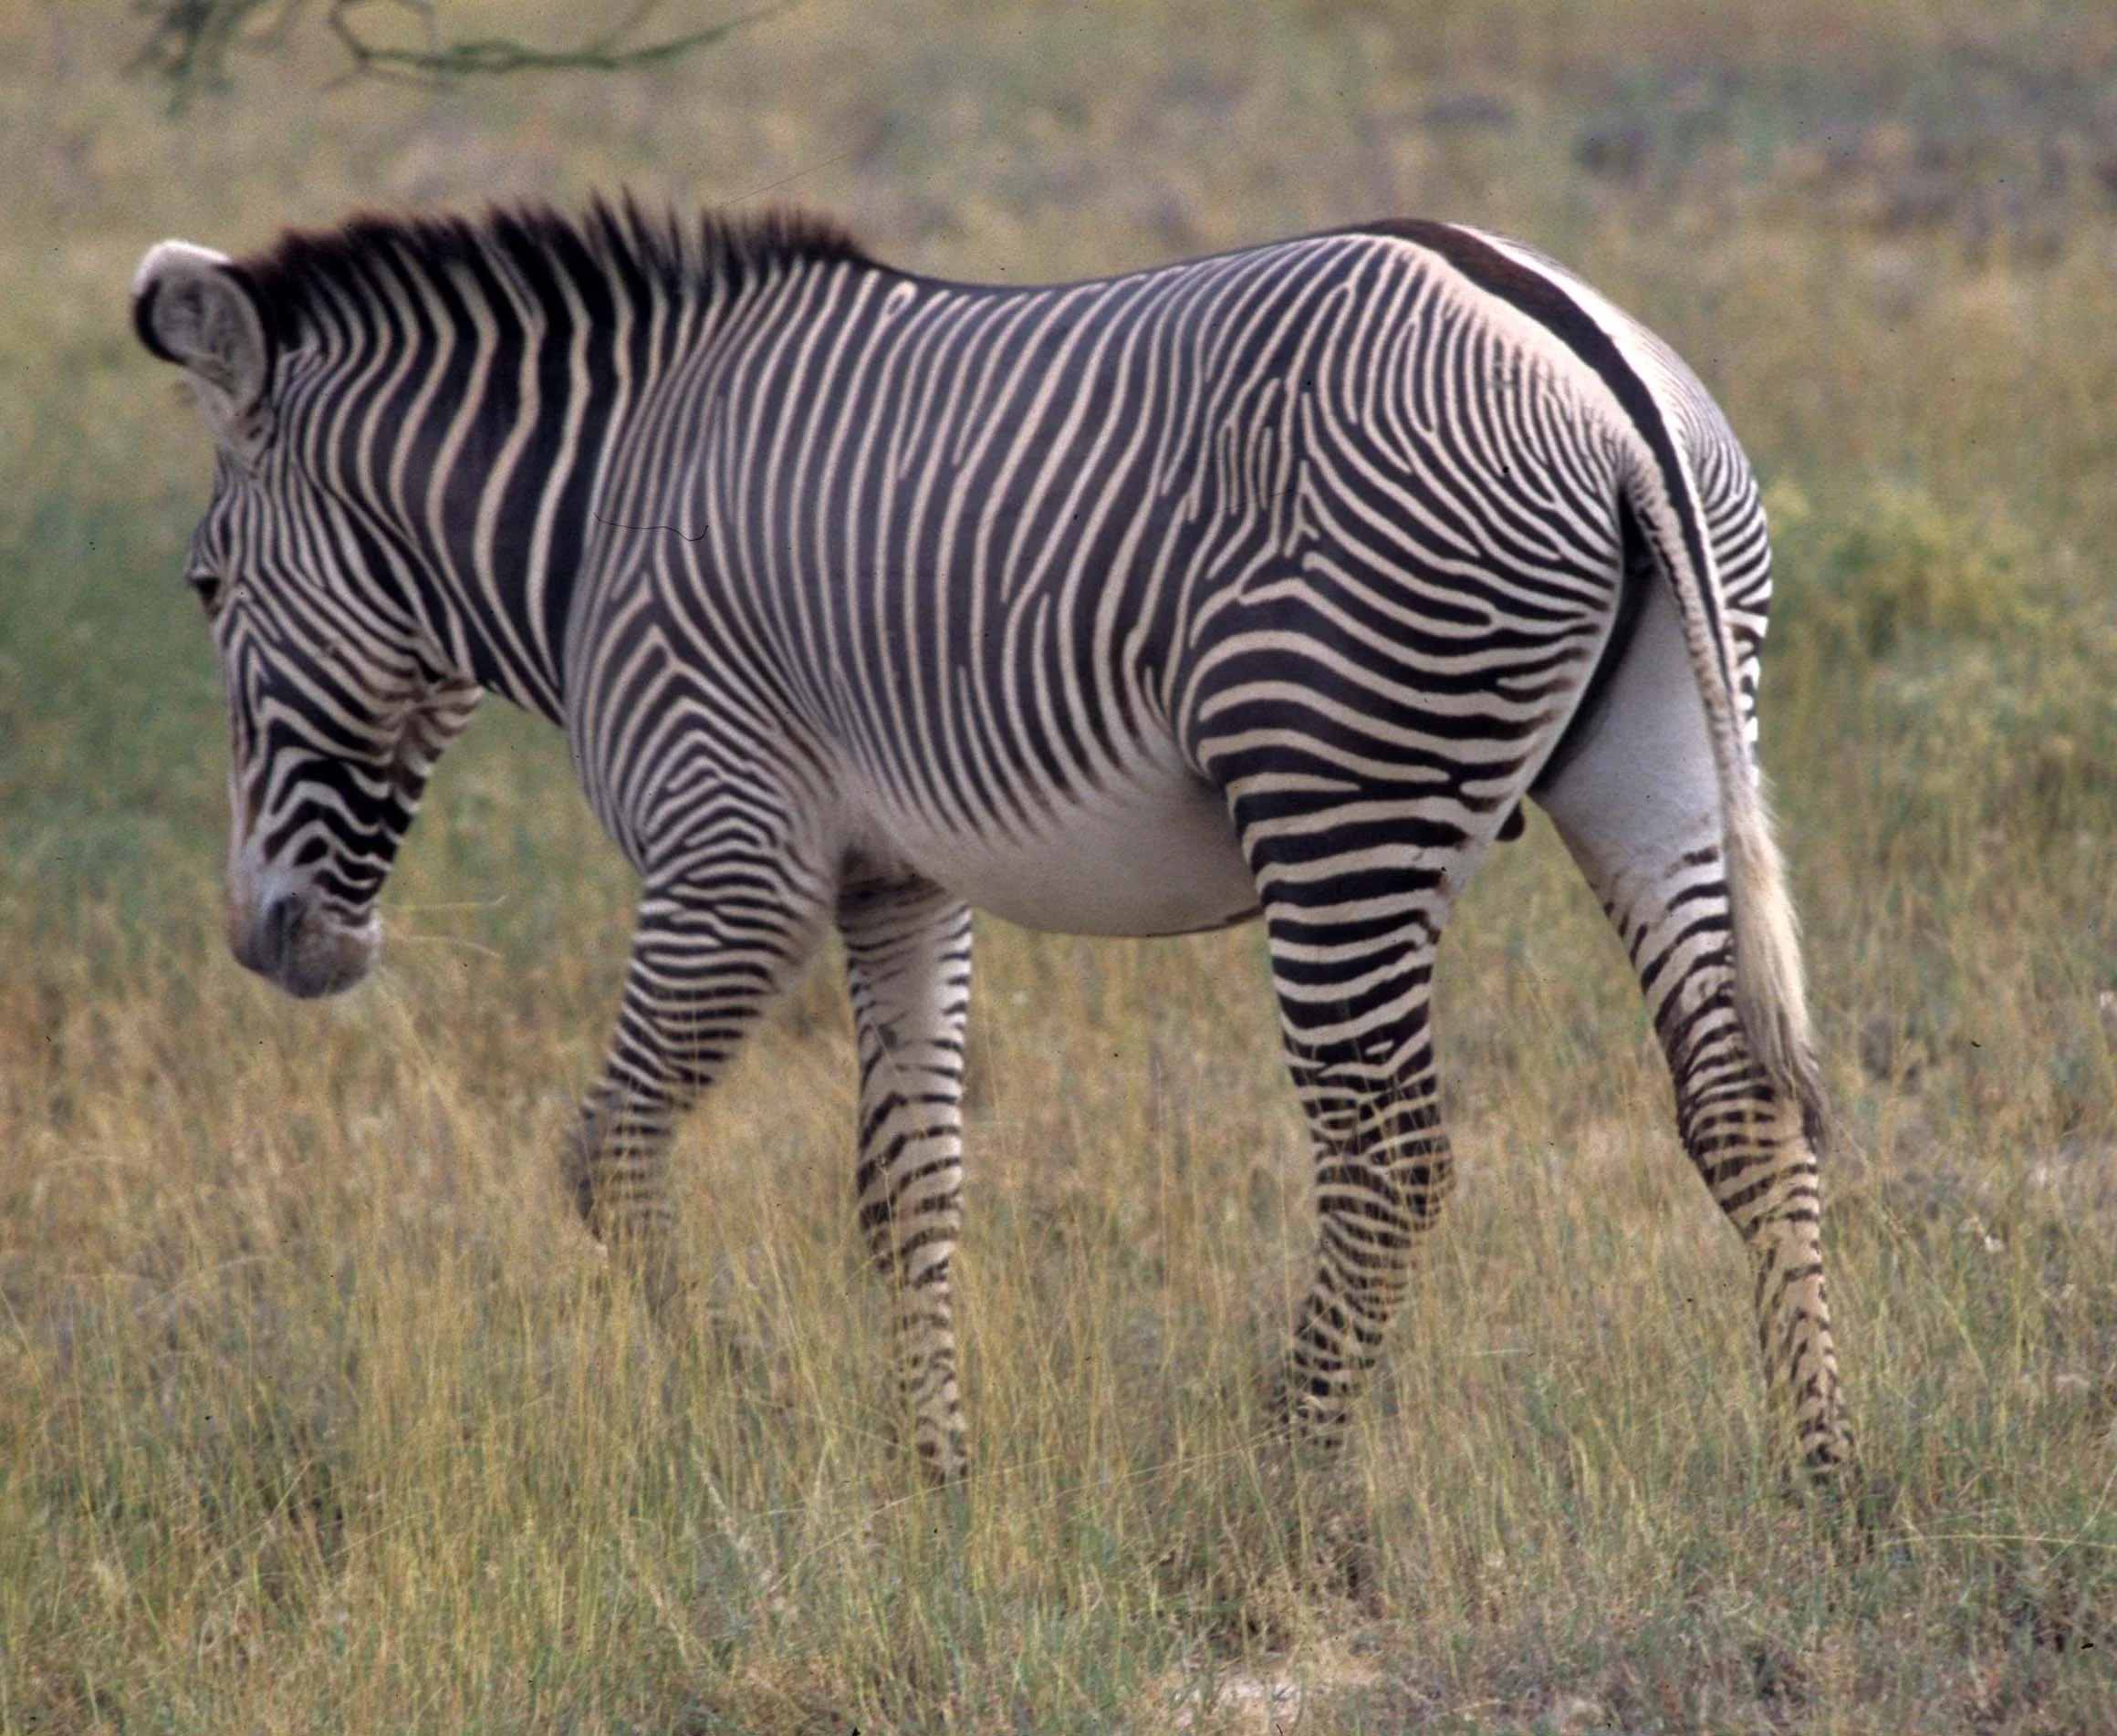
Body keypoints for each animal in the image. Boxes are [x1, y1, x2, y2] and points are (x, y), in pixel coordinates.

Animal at [131, 198, 1853, 1483]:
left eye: (205, 586)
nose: (268, 941)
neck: (600, 511)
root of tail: (1591, 365)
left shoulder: (729, 850)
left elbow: (608, 1153)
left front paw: (748, 1412)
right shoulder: (898, 878)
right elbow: (910, 1184)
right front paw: (934, 1474)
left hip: (1335, 798)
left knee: (1388, 1148)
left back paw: (1277, 1476)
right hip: (1661, 758)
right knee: (1742, 1102)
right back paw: (1819, 1468)